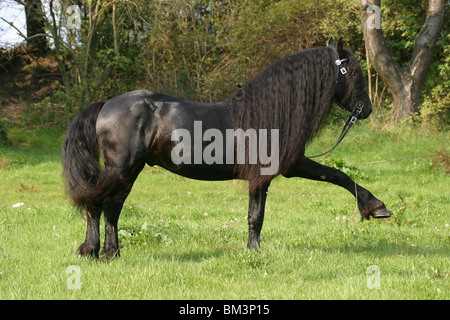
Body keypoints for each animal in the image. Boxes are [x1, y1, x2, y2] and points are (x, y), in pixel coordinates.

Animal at [62, 38, 390, 258]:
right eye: (355, 73)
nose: (367, 109)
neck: (270, 110)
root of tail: (106, 104)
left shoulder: (283, 168)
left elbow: (333, 178)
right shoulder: (274, 171)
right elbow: (261, 214)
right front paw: (376, 207)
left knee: (105, 207)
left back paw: (102, 251)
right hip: (123, 169)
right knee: (103, 205)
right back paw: (100, 251)